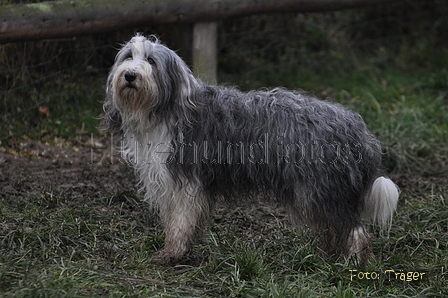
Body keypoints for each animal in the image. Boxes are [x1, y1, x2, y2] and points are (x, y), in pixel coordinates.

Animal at [99, 34, 400, 266]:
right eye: (128, 56)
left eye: (151, 61)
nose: (130, 75)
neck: (167, 108)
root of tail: (353, 126)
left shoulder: (186, 183)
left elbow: (181, 222)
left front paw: (172, 253)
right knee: (339, 227)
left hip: (321, 189)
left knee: (354, 230)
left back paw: (352, 263)